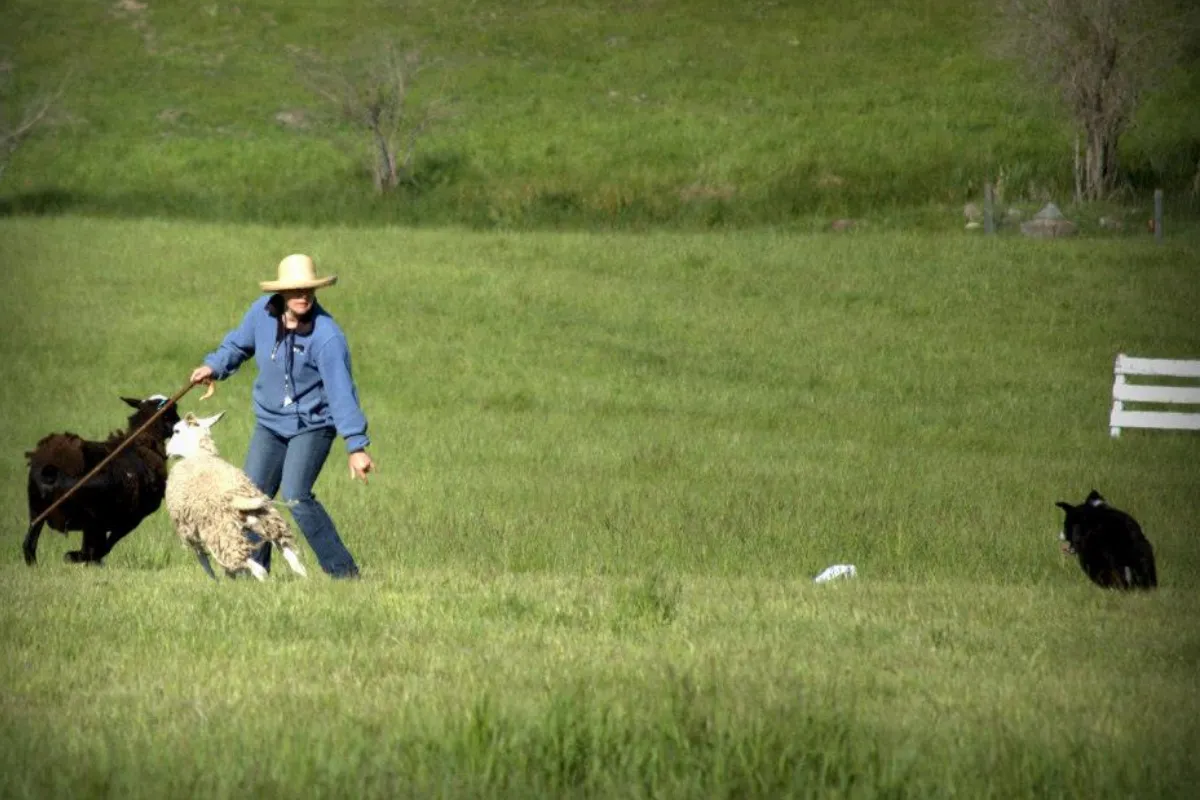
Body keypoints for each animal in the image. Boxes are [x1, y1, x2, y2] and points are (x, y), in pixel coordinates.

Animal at [24, 394, 181, 566]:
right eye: (172, 412)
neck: (143, 444)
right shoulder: (129, 518)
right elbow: (104, 545)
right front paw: (79, 558)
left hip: (37, 510)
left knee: (29, 544)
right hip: (89, 514)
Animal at [164, 411, 308, 581]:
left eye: (176, 431)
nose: (167, 451)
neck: (199, 454)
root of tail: (235, 497)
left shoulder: (189, 530)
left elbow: (203, 560)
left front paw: (215, 580)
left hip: (222, 531)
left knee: (253, 566)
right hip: (267, 521)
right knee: (292, 558)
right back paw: (305, 578)